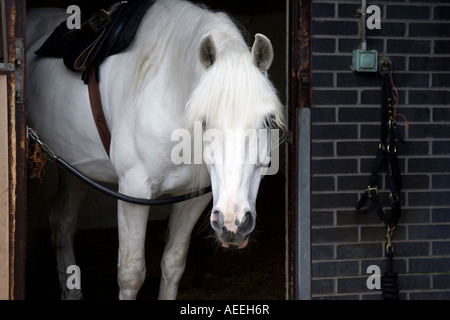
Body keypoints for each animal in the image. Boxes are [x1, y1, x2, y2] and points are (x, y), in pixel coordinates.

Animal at [25, 0, 284, 300]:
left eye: (267, 121)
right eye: (205, 121)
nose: (234, 223)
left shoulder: (192, 199)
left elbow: (173, 264)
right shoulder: (133, 192)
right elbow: (130, 274)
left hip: (76, 168)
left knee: (62, 222)